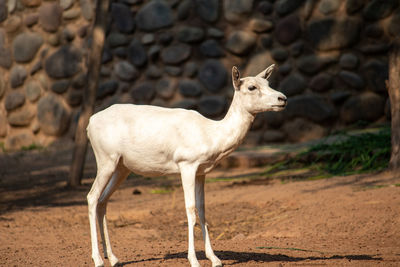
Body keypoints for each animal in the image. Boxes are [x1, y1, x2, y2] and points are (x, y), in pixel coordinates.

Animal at [86, 63, 288, 266]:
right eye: (251, 87)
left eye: (267, 82)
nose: (283, 98)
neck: (210, 132)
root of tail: (91, 121)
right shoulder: (187, 167)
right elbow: (190, 210)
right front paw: (194, 260)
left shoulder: (201, 172)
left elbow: (202, 210)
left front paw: (215, 259)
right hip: (106, 162)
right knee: (92, 197)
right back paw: (98, 259)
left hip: (122, 168)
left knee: (103, 200)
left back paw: (113, 258)